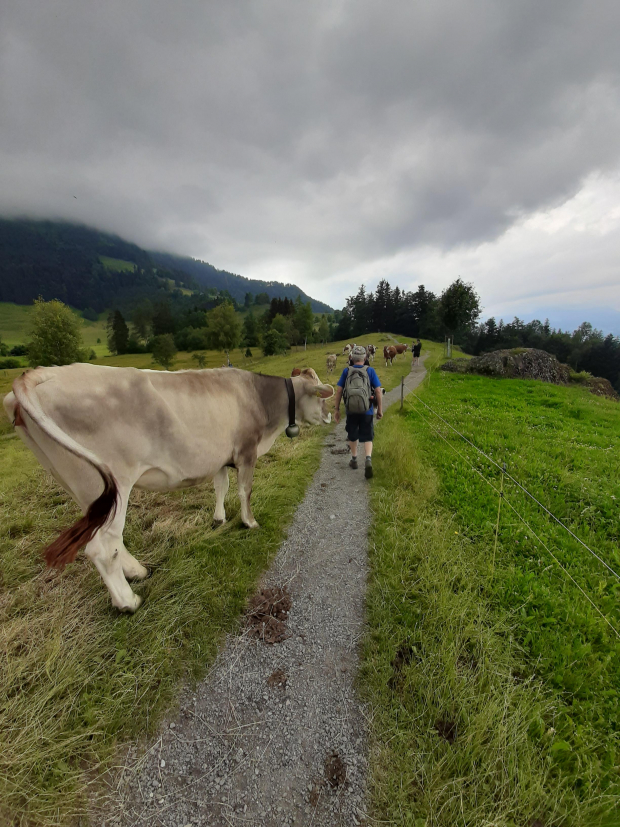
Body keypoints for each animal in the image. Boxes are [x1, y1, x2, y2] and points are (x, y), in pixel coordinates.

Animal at [4, 366, 334, 612]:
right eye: (321, 395)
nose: (330, 417)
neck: (261, 399)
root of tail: (39, 373)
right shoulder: (246, 451)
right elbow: (245, 490)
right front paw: (249, 522)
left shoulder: (218, 456)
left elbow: (221, 486)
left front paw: (219, 519)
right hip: (112, 481)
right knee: (103, 547)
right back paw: (128, 601)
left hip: (86, 490)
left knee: (111, 539)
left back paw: (136, 572)